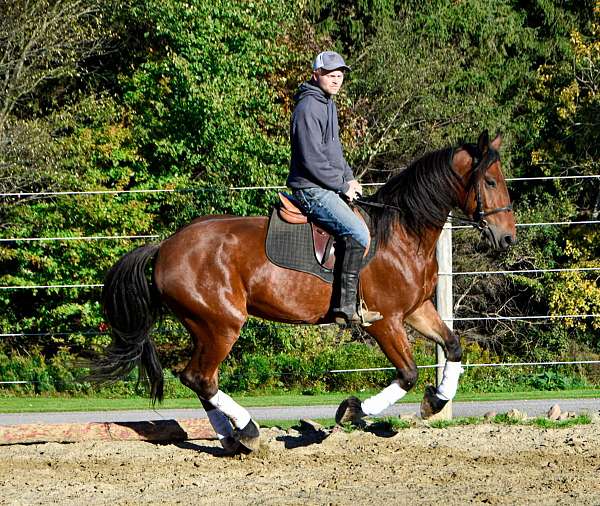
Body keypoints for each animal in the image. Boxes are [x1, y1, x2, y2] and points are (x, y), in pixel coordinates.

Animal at [97, 130, 516, 450]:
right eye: (490, 182)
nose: (507, 237)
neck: (401, 234)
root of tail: (166, 247)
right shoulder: (385, 321)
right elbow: (409, 373)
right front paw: (353, 410)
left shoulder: (415, 310)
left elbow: (453, 346)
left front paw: (436, 401)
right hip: (221, 324)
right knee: (199, 378)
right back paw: (247, 431)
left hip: (206, 326)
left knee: (200, 380)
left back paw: (233, 438)